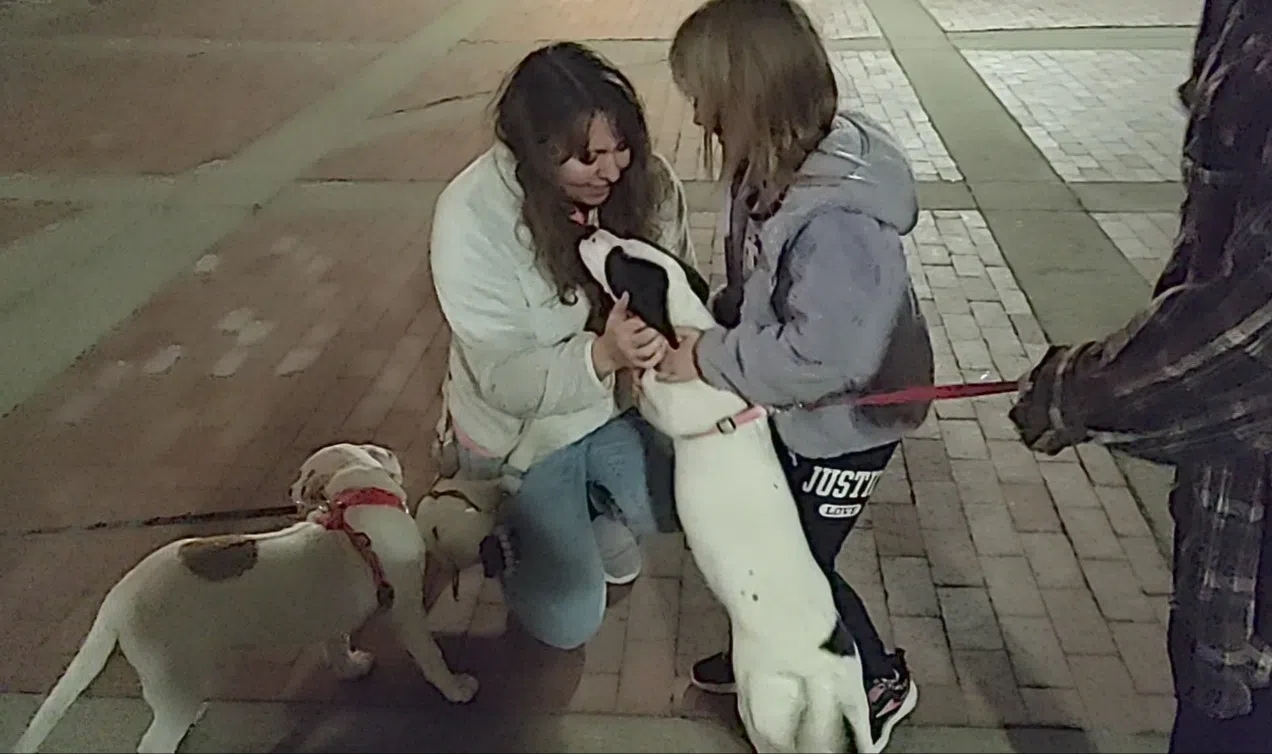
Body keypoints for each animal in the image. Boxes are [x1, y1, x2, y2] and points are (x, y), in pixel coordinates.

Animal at [12, 439, 478, 752]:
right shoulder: (407, 612)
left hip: (172, 679)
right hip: (171, 674)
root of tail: (115, 598)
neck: (356, 503)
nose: (291, 492)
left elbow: (337, 645)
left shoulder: (329, 621)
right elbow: (431, 657)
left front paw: (351, 668)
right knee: (153, 742)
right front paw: (457, 689)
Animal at [580, 227, 885, 752]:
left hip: (761, 707)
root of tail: (819, 674)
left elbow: (647, 388)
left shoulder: (666, 402)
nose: (592, 230)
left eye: (617, 260)